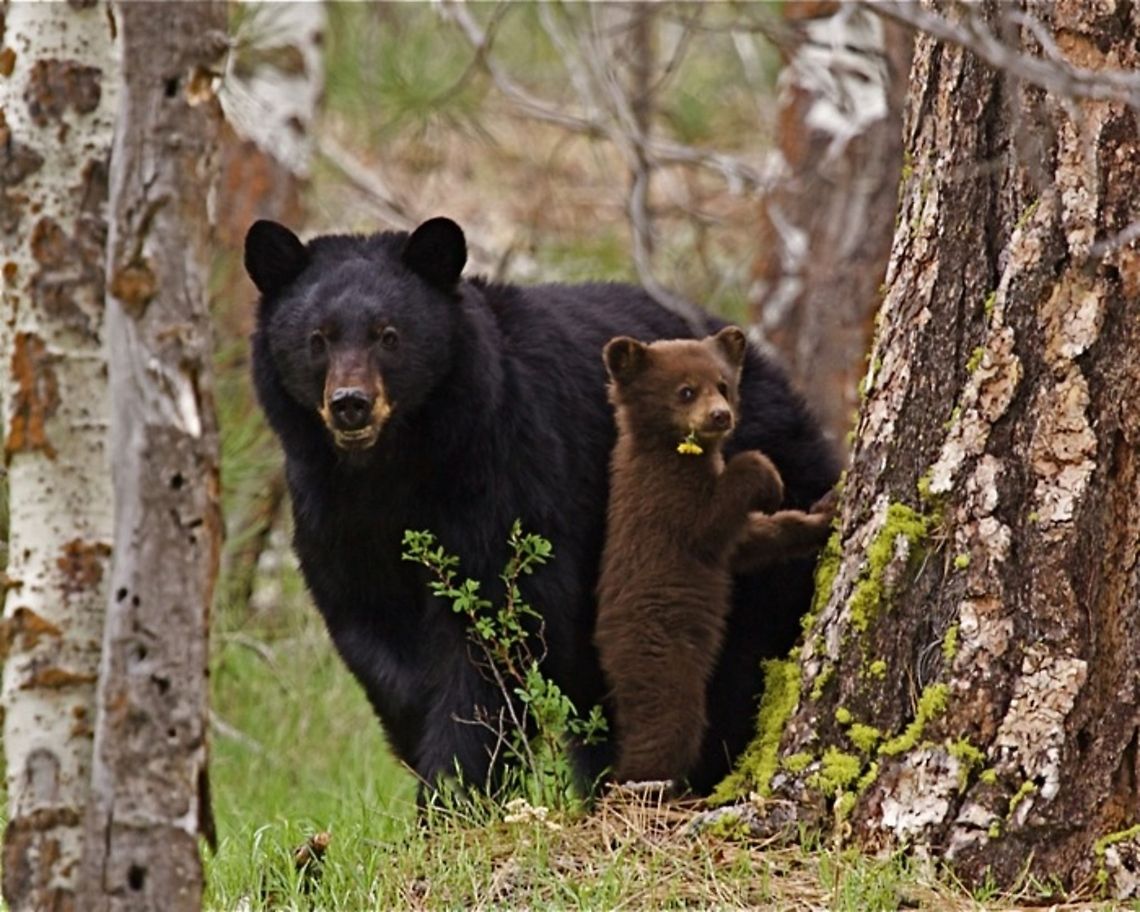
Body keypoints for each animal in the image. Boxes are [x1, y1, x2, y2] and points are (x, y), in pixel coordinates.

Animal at [596, 327, 787, 786]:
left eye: (723, 385)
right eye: (686, 390)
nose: (720, 416)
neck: (670, 450)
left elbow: (746, 543)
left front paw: (822, 513)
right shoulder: (664, 499)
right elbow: (711, 521)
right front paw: (768, 479)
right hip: (662, 654)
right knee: (668, 723)